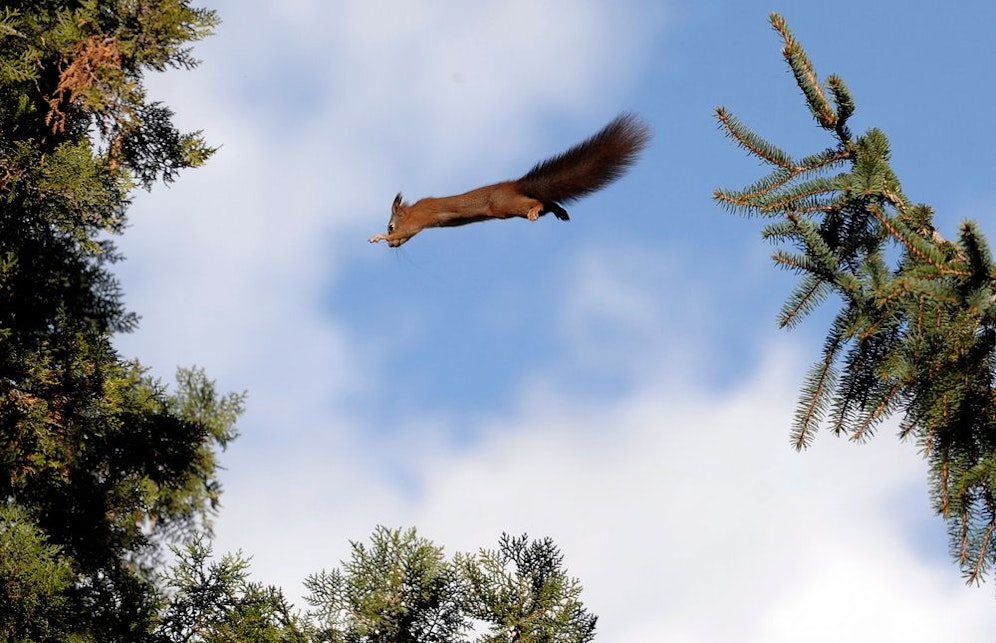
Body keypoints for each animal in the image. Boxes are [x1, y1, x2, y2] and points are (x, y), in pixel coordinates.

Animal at [369, 113, 651, 247]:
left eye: (391, 226)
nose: (392, 245)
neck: (413, 209)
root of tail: (516, 185)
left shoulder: (418, 220)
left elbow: (408, 230)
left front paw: (379, 238)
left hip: (505, 206)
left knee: (537, 202)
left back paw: (537, 210)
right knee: (548, 202)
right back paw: (559, 212)